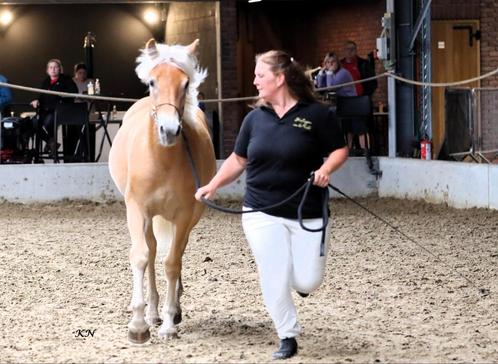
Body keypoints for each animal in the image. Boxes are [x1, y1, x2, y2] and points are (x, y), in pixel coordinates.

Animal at [109, 38, 216, 342]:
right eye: (153, 81)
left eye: (185, 83)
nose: (169, 130)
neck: (162, 160)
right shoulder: (137, 211)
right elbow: (142, 256)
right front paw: (138, 324)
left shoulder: (183, 216)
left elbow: (172, 263)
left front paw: (169, 323)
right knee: (153, 251)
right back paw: (152, 312)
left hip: (188, 220)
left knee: (173, 255)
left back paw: (171, 310)